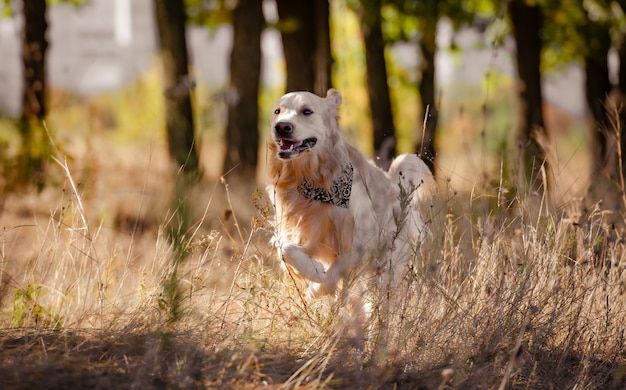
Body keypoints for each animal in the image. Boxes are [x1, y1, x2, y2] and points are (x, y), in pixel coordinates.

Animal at [266, 90, 432, 298]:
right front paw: (313, 271)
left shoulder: (360, 244)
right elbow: (282, 245)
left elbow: (330, 277)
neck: (313, 180)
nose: (281, 127)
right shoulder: (291, 228)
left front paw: (316, 281)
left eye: (307, 111)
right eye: (277, 111)